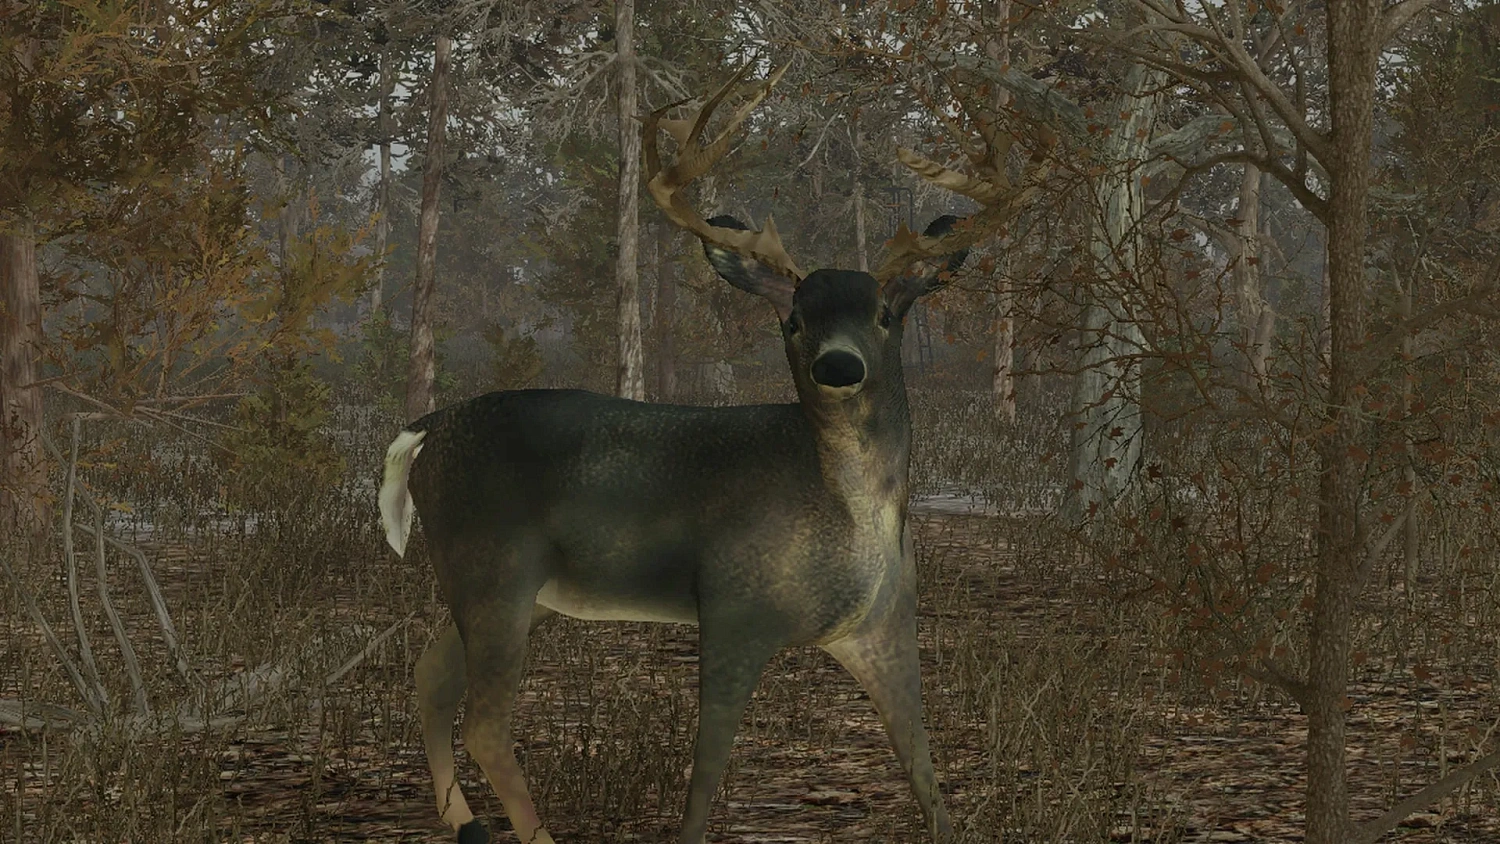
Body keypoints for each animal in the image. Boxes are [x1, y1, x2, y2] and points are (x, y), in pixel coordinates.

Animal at [379, 62, 1046, 844]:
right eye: (792, 320)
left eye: (886, 314)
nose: (839, 366)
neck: (845, 512)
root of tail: (428, 426)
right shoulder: (731, 604)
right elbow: (705, 775)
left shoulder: (885, 624)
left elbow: (923, 769)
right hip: (492, 566)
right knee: (485, 721)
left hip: (520, 591)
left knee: (431, 676)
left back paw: (461, 821)